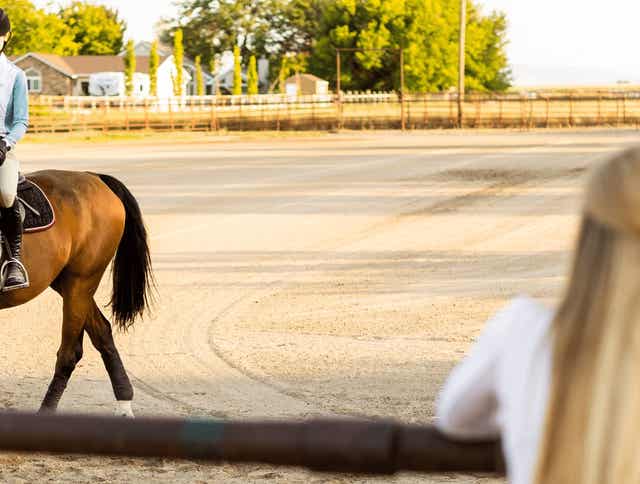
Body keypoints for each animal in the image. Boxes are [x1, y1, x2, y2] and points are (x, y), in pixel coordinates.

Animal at [1, 169, 154, 416]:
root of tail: (92, 176)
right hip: (69, 284)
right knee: (102, 332)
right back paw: (124, 402)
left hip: (81, 282)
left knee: (70, 353)